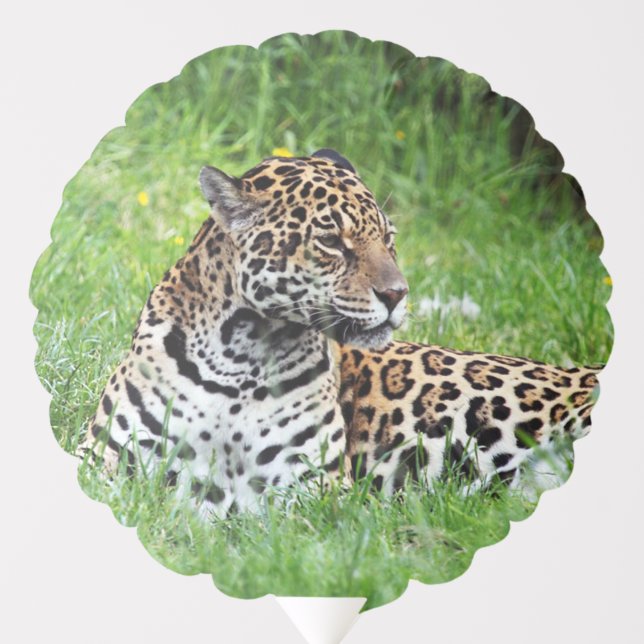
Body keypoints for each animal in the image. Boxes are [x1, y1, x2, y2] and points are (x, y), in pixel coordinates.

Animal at [80, 149, 600, 517]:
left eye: (388, 239)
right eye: (332, 241)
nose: (398, 294)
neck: (240, 354)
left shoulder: (314, 490)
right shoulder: (104, 458)